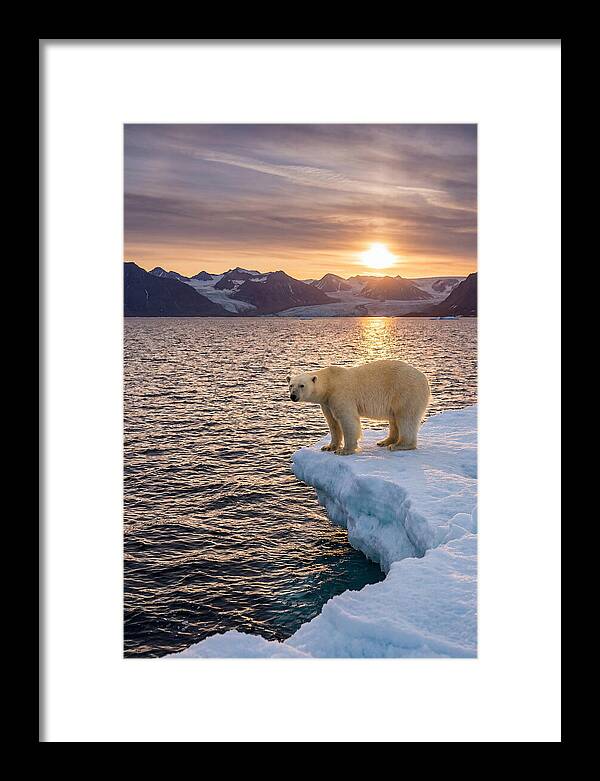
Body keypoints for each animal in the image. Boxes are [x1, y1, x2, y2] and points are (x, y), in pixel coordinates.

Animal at [287, 359, 430, 455]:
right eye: (291, 385)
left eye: (302, 385)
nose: (293, 396)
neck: (330, 383)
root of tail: (425, 378)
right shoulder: (327, 402)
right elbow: (332, 423)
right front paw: (328, 447)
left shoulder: (341, 394)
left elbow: (347, 420)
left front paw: (344, 450)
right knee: (394, 418)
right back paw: (385, 441)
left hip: (406, 391)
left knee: (406, 417)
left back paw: (398, 445)